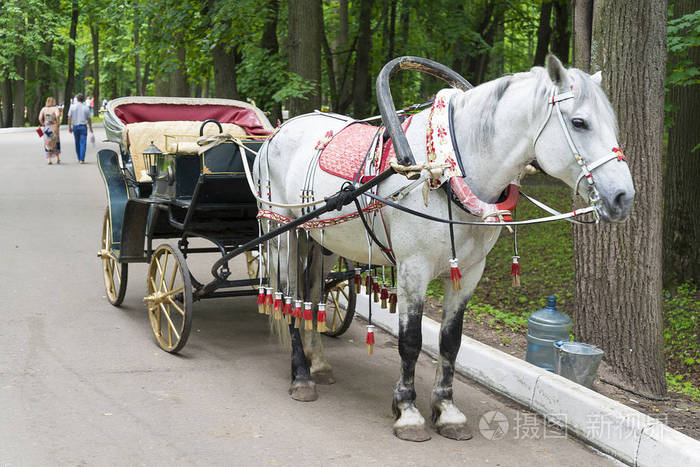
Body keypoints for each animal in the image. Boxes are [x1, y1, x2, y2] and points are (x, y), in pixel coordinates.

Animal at [253, 55, 636, 442]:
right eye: (579, 122)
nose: (623, 197)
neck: (447, 169)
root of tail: (279, 131)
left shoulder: (469, 272)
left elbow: (451, 341)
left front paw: (447, 410)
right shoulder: (413, 269)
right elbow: (411, 339)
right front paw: (407, 410)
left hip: (321, 240)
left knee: (312, 292)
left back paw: (318, 362)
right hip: (281, 234)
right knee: (288, 295)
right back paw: (301, 376)